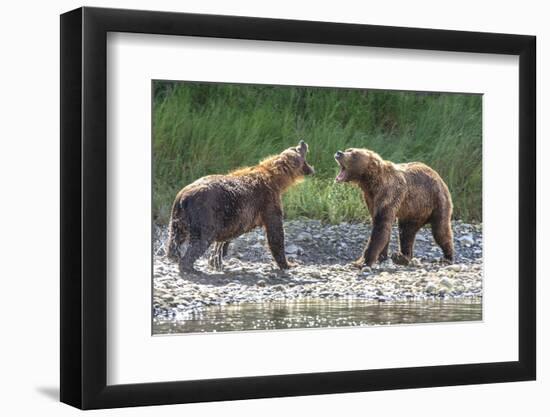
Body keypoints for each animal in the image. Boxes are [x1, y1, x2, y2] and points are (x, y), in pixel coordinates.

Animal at [166, 141, 316, 274]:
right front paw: (288, 264)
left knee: (175, 238)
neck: (277, 180)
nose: (303, 141)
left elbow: (224, 239)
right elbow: (275, 232)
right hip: (203, 212)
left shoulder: (231, 216)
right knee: (202, 240)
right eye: (298, 148)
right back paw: (190, 267)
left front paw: (217, 259)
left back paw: (175, 256)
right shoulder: (267, 201)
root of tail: (183, 196)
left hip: (178, 217)